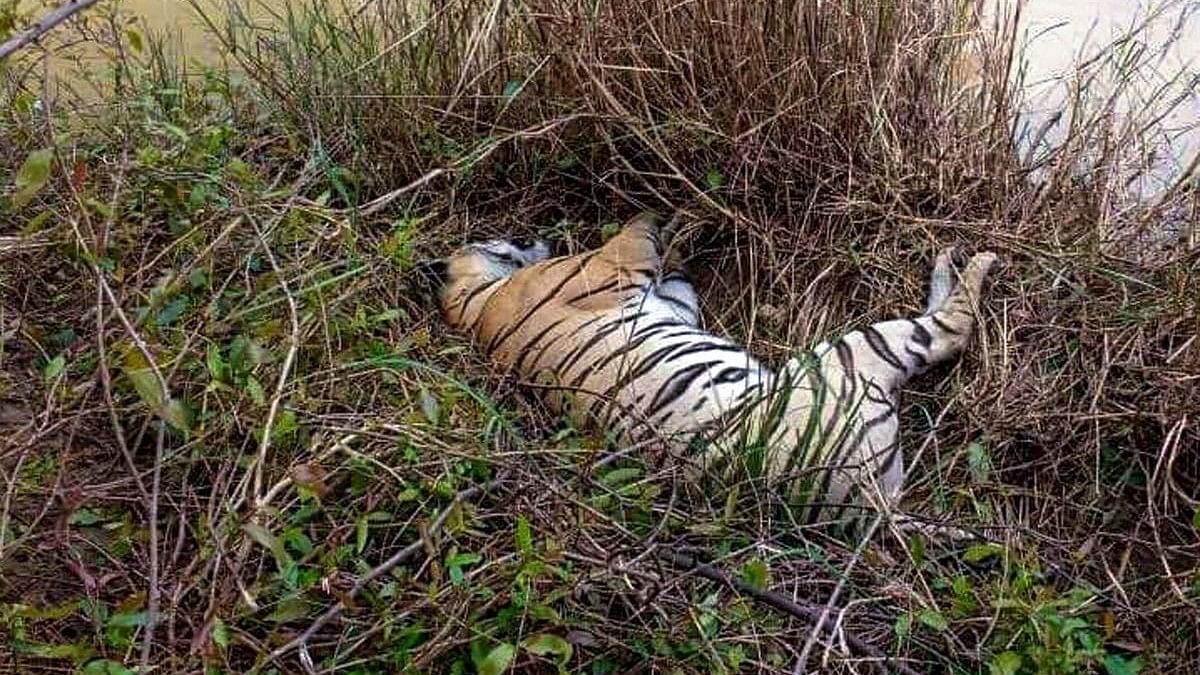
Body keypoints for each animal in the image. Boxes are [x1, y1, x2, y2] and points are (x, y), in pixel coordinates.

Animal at [417, 213, 998, 526]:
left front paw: (689, 239)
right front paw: (678, 215)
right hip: (850, 355)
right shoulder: (607, 267)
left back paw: (950, 256)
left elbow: (674, 278)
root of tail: (876, 507)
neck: (474, 307)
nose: (538, 235)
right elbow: (634, 231)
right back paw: (977, 261)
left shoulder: (669, 301)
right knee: (951, 327)